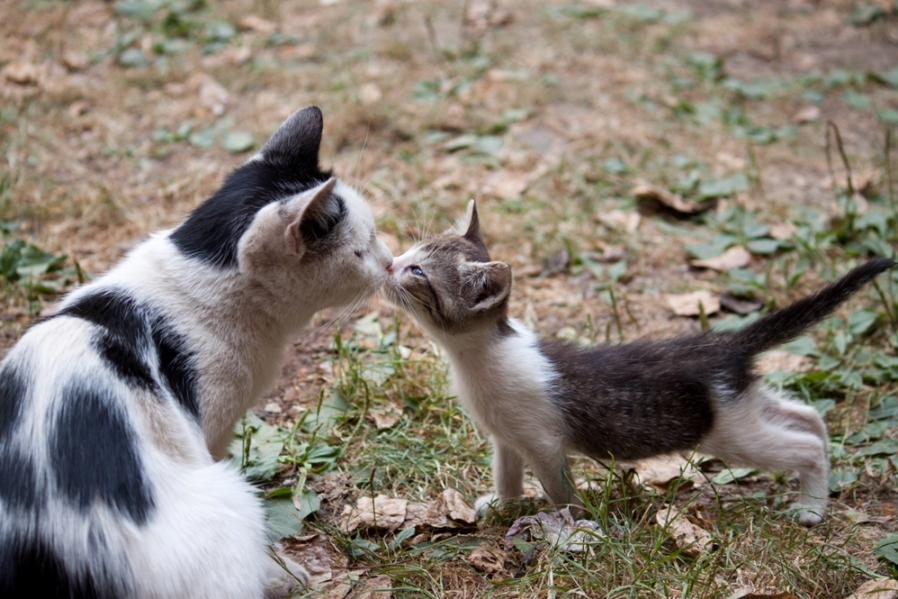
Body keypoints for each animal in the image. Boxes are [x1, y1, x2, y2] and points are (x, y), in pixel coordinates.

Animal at [384, 200, 896, 524]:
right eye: (411, 253)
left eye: (418, 271)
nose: (388, 263)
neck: (478, 355)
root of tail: (723, 344)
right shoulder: (507, 438)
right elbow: (508, 474)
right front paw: (504, 505)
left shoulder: (543, 443)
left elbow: (559, 489)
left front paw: (571, 526)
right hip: (743, 403)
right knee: (806, 415)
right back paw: (825, 464)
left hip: (730, 433)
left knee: (801, 445)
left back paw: (811, 508)